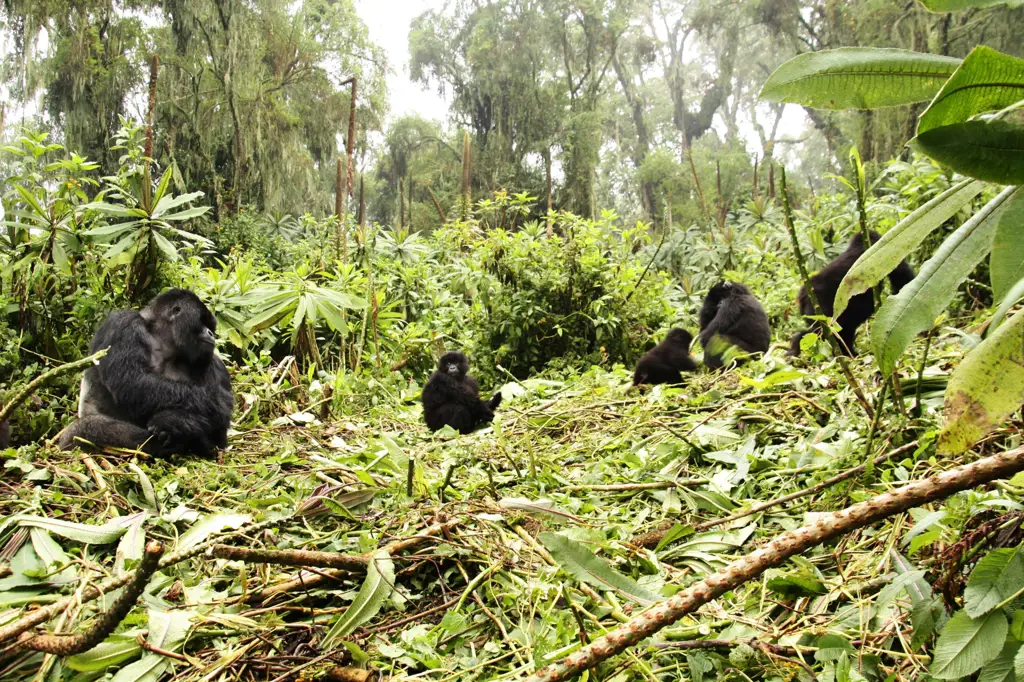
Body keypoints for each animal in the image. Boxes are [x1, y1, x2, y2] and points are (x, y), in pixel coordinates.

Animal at [59, 288, 235, 456]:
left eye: (210, 326)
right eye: (202, 321)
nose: (211, 334)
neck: (162, 338)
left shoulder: (209, 360)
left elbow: (220, 433)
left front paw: (175, 421)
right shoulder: (122, 321)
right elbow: (131, 382)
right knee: (88, 428)